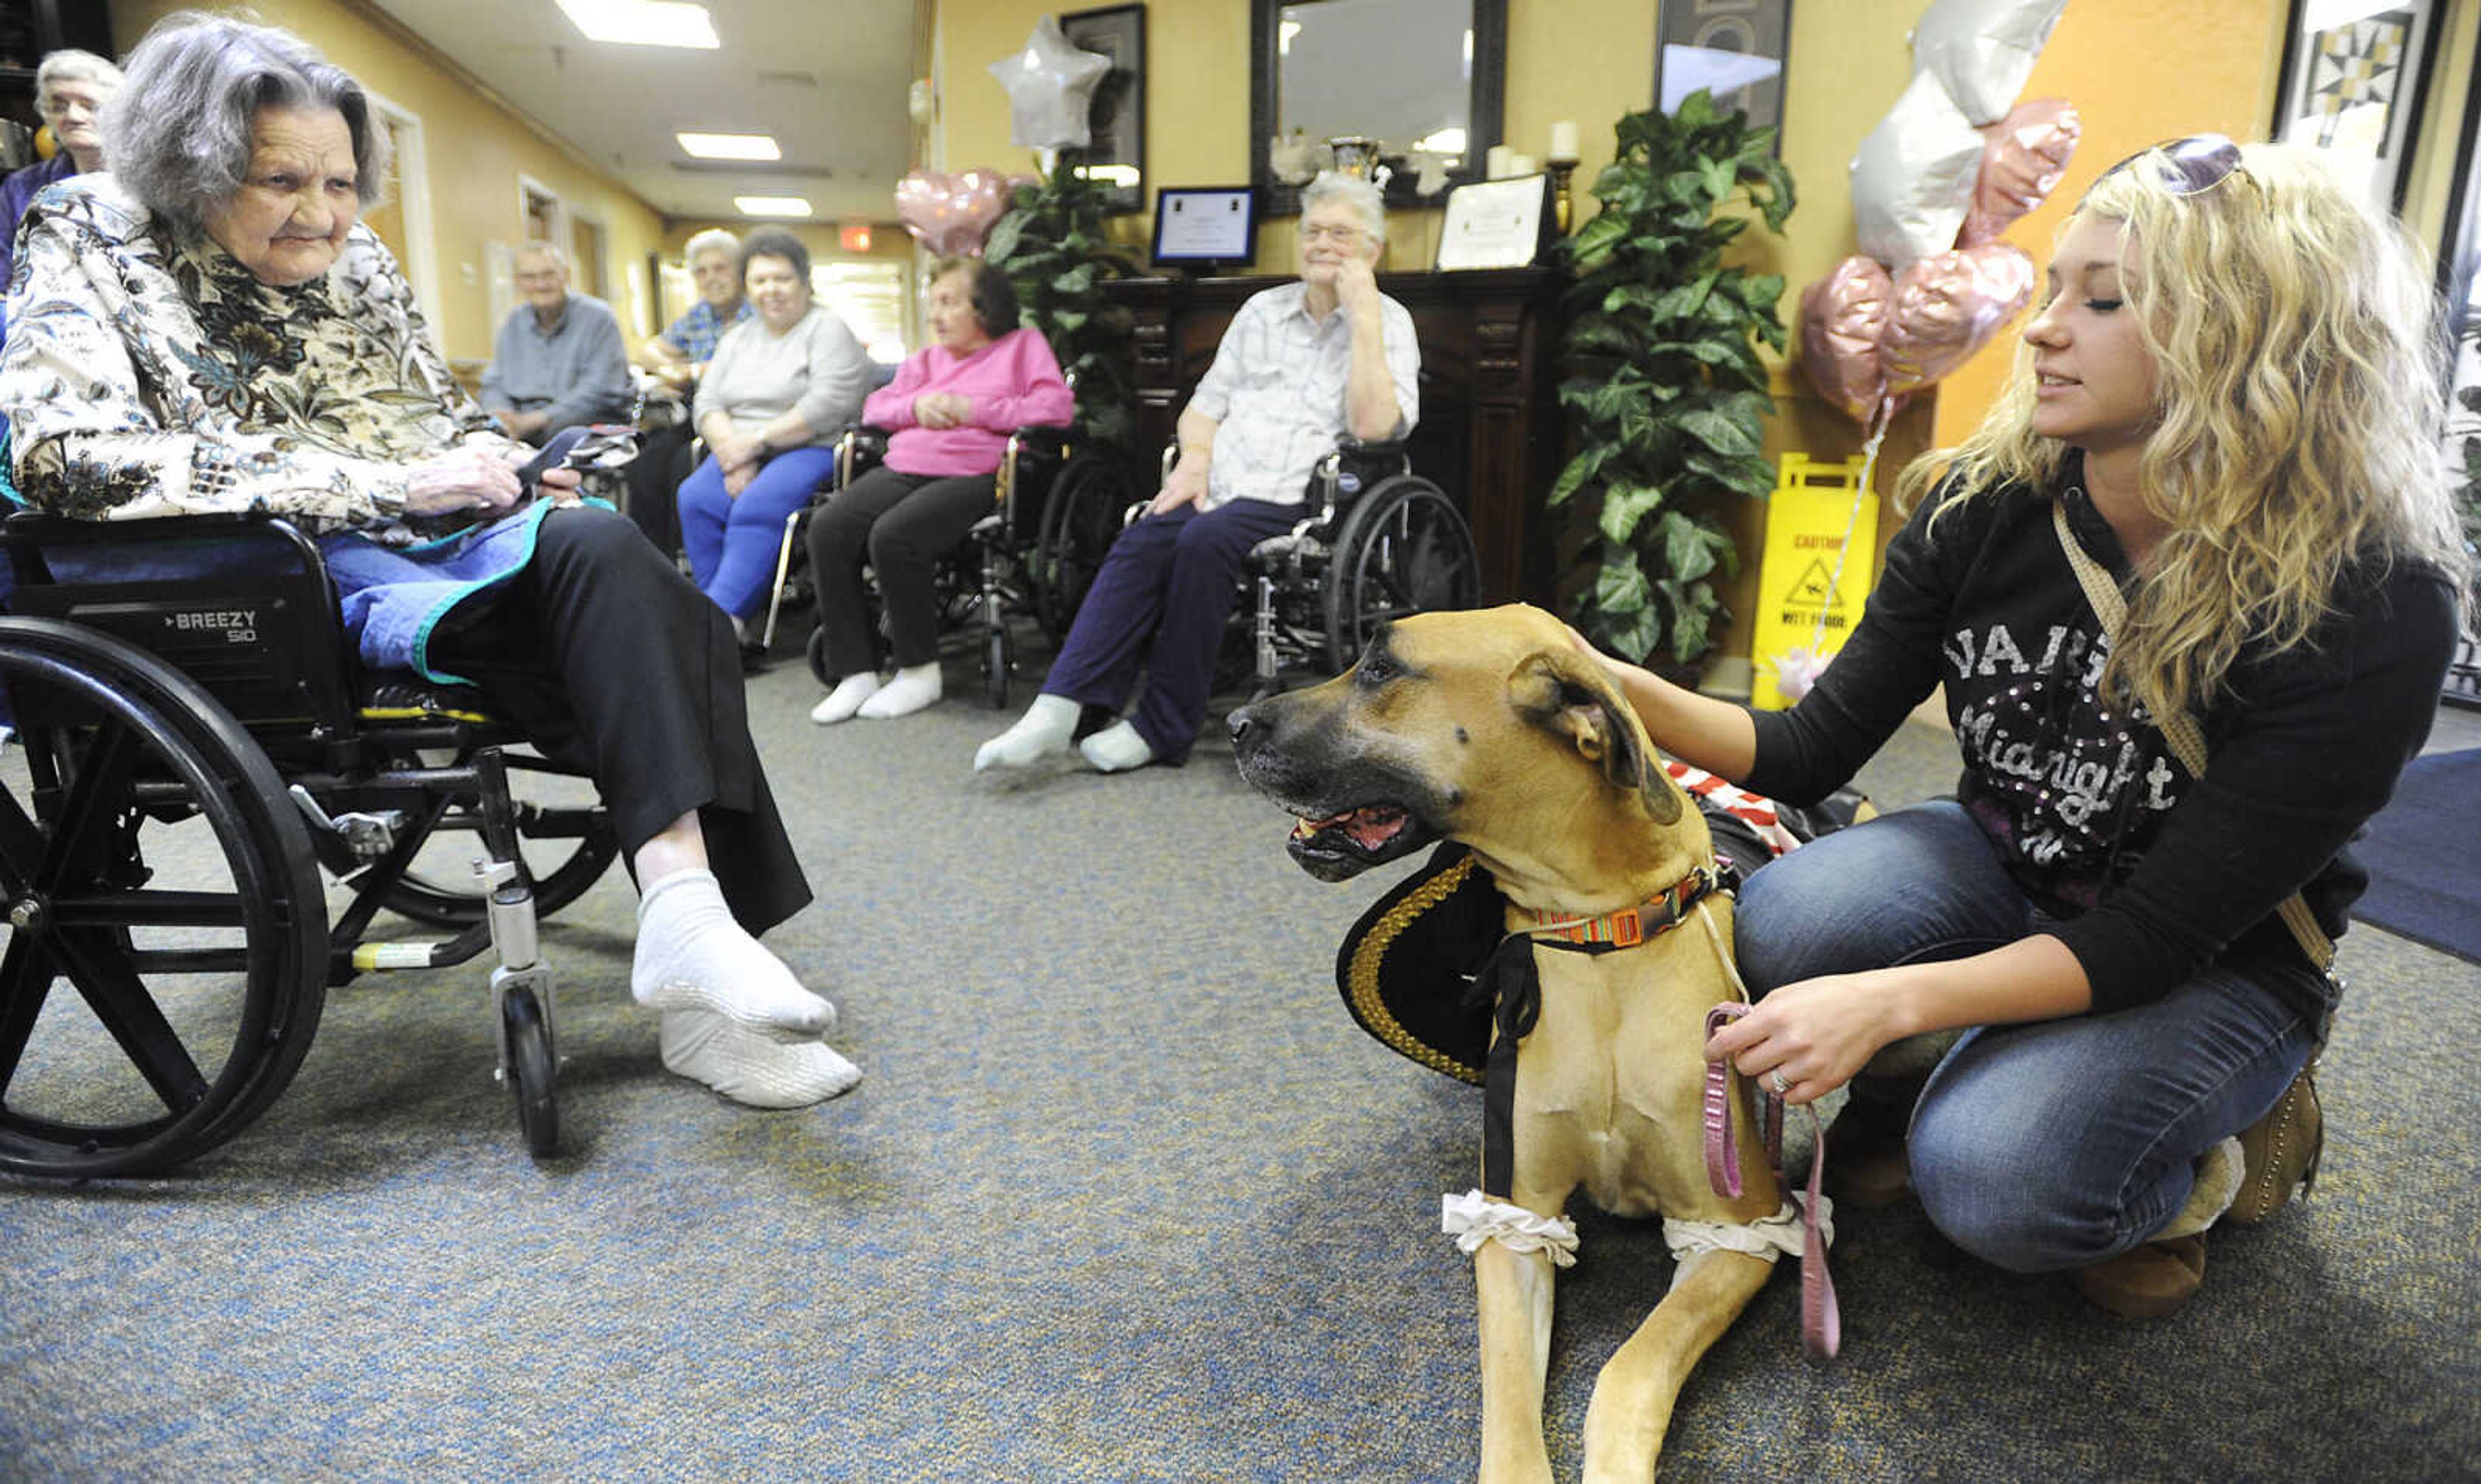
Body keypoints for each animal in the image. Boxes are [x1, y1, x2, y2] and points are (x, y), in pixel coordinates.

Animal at [1225, 605, 1826, 1484]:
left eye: (1382, 669)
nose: (1234, 722)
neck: (1597, 935)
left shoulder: (1737, 1228)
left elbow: (1633, 1364)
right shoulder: (1515, 1215)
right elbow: (1510, 1395)